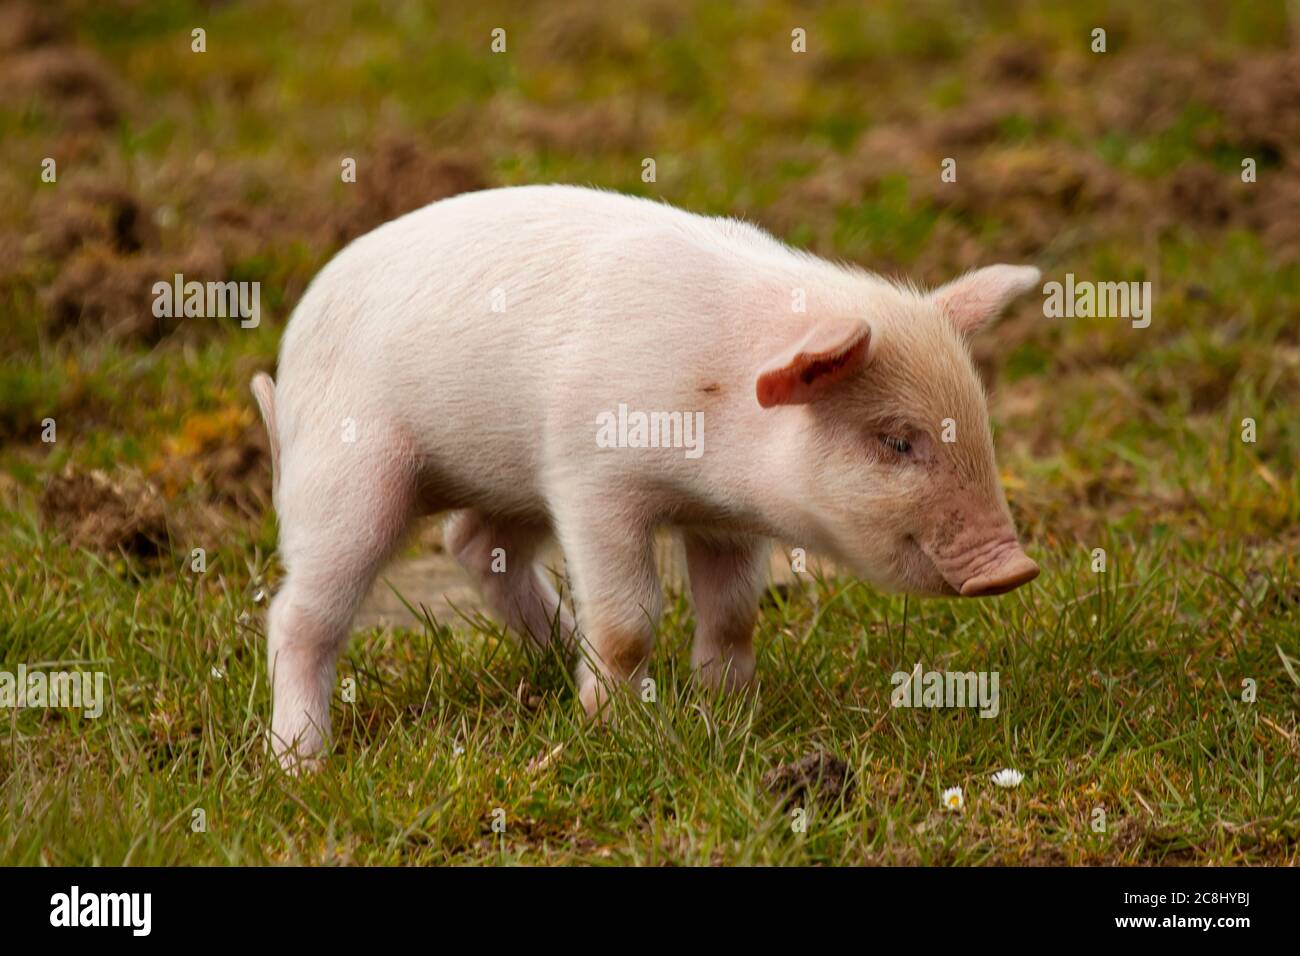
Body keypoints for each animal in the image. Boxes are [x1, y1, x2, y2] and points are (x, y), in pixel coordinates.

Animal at [252, 184, 1040, 766]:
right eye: (897, 441)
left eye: (977, 426)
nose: (1016, 568)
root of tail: (292, 347)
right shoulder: (591, 480)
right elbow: (629, 619)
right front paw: (615, 728)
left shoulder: (726, 519)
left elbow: (733, 611)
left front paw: (728, 708)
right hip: (352, 474)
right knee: (299, 614)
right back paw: (301, 764)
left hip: (511, 480)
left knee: (474, 545)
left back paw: (561, 654)